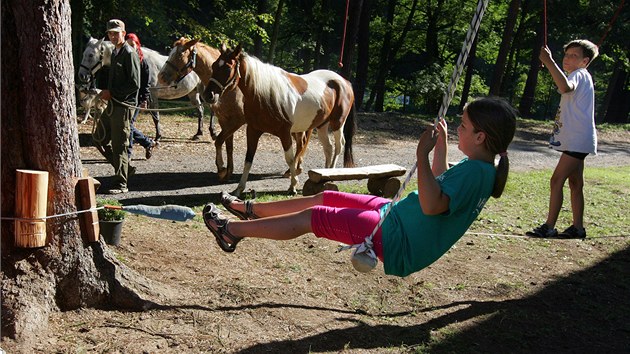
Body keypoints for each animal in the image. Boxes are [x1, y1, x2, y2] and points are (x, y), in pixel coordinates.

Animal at [77, 37, 211, 140]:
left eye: (91, 55)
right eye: (83, 54)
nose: (82, 75)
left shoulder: (152, 95)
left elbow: (155, 116)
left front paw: (158, 137)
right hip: (193, 93)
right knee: (201, 110)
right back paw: (198, 134)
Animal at [158, 38, 316, 189]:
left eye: (180, 54)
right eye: (213, 66)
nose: (161, 76)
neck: (233, 89)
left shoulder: (237, 121)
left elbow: (219, 140)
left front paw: (222, 169)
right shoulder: (224, 120)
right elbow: (228, 145)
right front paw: (228, 171)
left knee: (301, 143)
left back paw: (294, 170)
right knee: (300, 143)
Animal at [206, 43, 358, 196]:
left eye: (228, 67)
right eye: (213, 65)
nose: (209, 95)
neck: (266, 94)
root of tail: (345, 82)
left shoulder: (284, 133)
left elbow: (289, 159)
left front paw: (293, 186)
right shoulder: (253, 130)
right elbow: (248, 159)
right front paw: (238, 188)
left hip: (337, 123)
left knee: (339, 146)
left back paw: (330, 174)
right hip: (322, 125)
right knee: (328, 148)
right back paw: (324, 174)